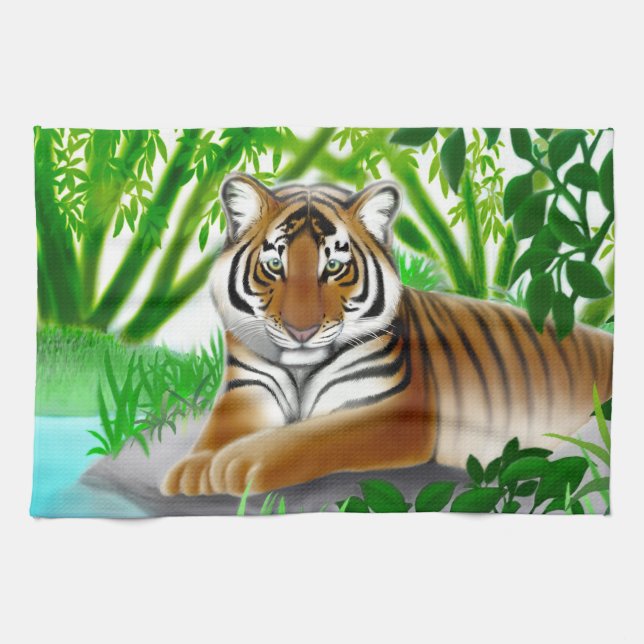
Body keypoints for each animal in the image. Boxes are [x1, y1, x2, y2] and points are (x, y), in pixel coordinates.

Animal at [161, 172, 613, 497]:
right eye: (274, 264)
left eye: (334, 266)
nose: (301, 330)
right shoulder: (249, 389)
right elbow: (219, 432)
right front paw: (193, 469)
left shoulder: (393, 412)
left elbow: (307, 437)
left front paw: (234, 464)